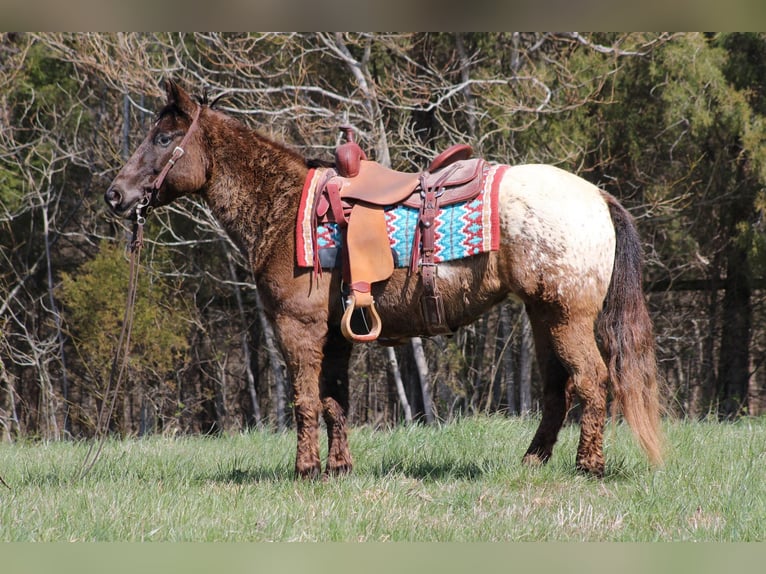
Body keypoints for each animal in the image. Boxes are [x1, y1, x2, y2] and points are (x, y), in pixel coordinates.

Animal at [105, 79, 664, 480]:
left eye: (163, 138)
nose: (115, 194)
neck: (284, 209)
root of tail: (596, 195)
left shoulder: (297, 328)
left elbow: (305, 400)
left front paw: (304, 469)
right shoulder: (334, 336)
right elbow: (334, 400)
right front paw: (338, 468)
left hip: (567, 316)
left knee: (592, 381)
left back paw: (589, 466)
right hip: (544, 314)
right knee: (557, 388)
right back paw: (533, 463)